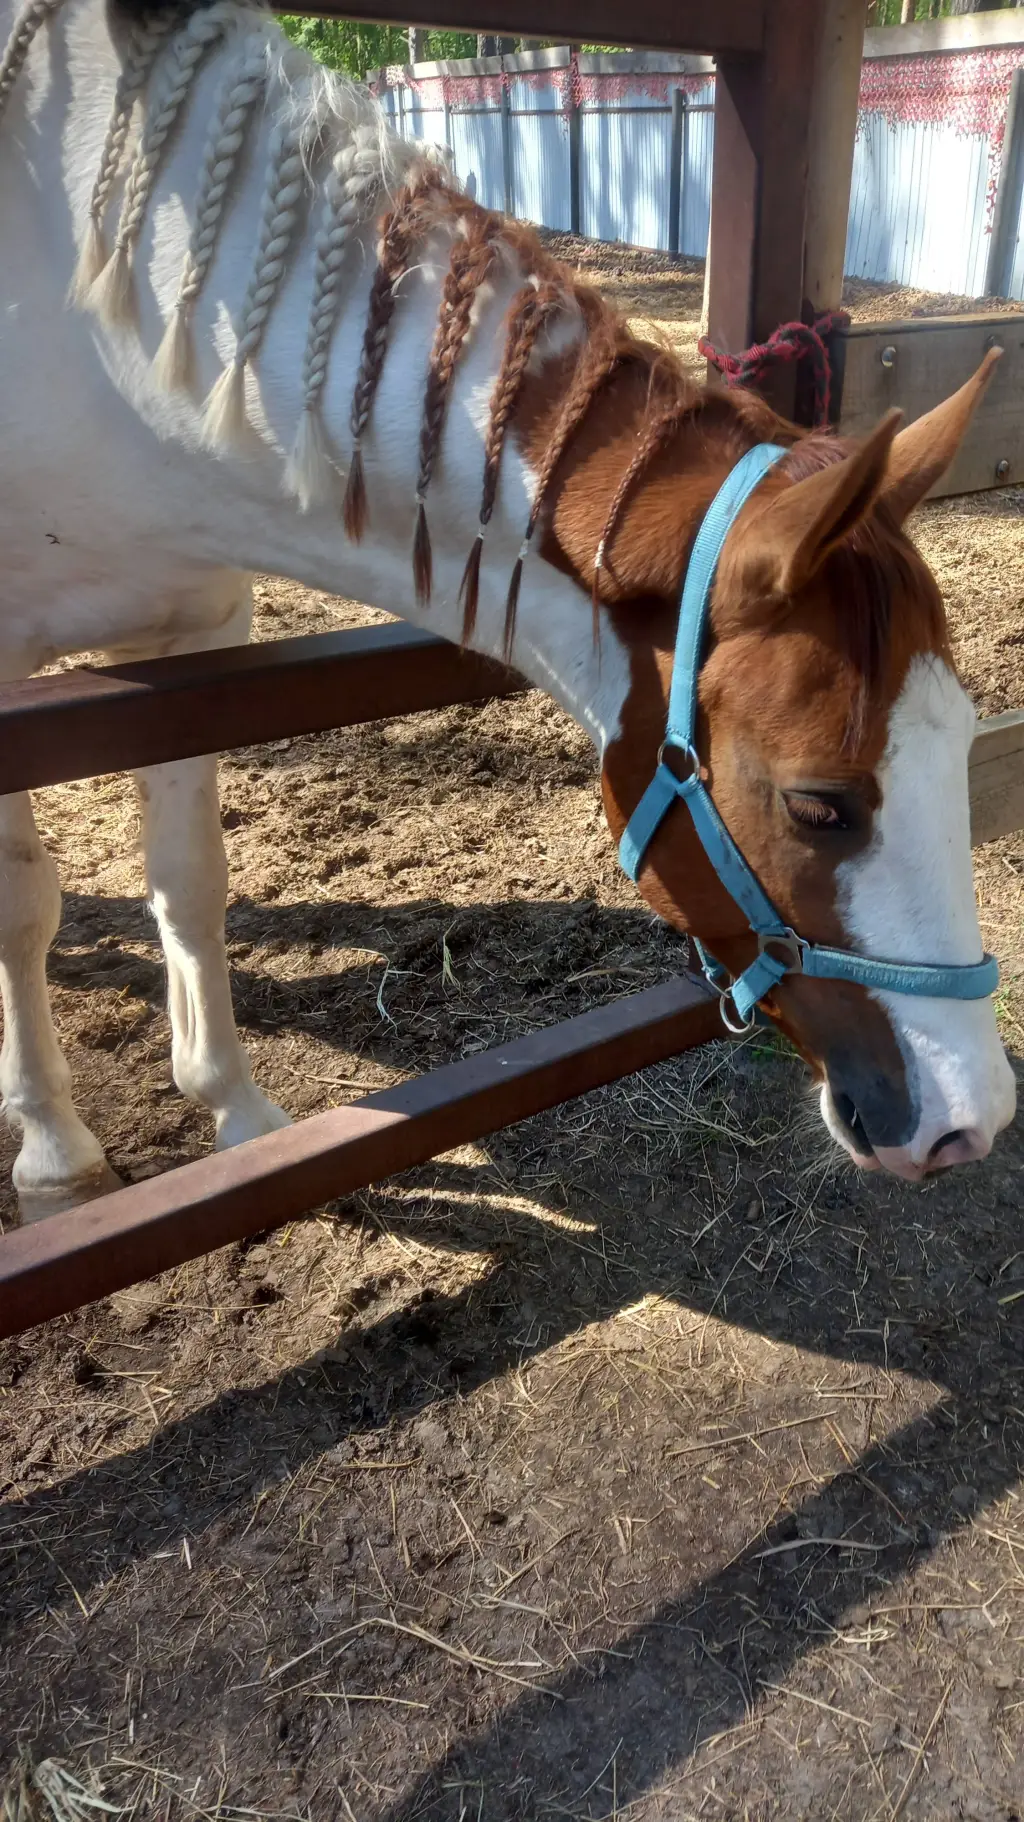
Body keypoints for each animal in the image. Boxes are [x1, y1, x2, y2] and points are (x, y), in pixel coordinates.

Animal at [0, 0, 1014, 1224]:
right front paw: (55, 1152)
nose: (970, 1119)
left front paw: (235, 1116)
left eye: (964, 740)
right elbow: (22, 906)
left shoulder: (197, 630)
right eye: (819, 804)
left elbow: (191, 880)